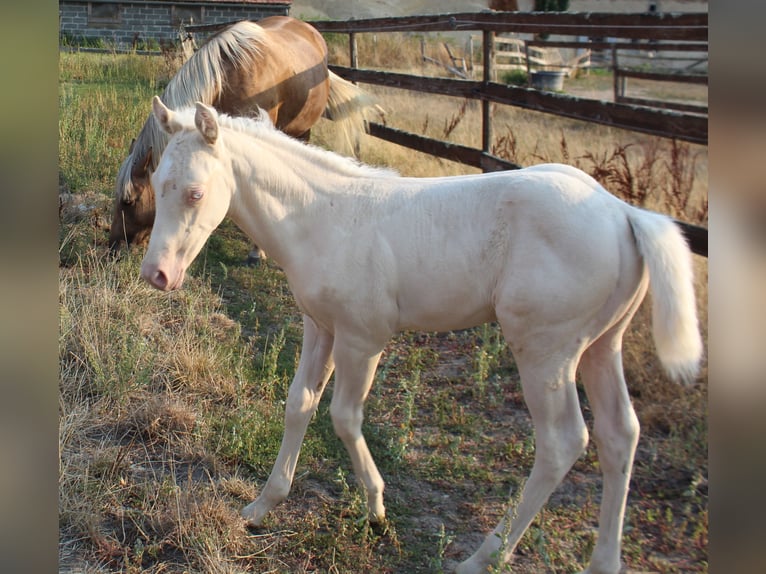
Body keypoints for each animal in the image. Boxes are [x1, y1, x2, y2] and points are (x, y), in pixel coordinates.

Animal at [140, 97, 703, 574]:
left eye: (195, 192)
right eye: (157, 179)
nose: (156, 275)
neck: (322, 218)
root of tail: (624, 214)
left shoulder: (363, 337)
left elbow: (343, 415)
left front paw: (375, 509)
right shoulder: (319, 325)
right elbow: (299, 402)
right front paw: (261, 506)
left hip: (547, 349)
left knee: (563, 442)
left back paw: (481, 557)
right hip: (601, 345)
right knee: (619, 434)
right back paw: (602, 561)